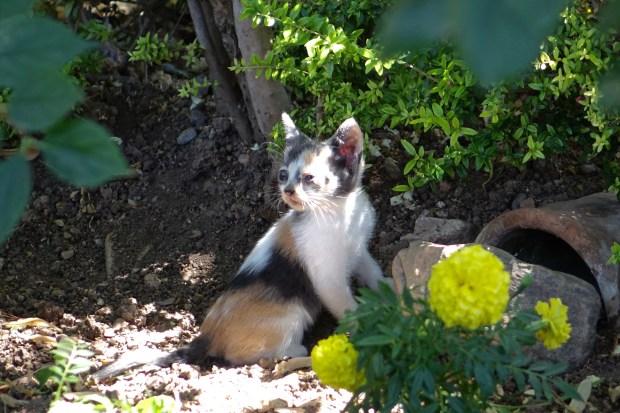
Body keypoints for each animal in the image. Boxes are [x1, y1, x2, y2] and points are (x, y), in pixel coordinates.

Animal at [92, 113, 389, 379]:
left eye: (308, 178)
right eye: (283, 175)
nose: (287, 191)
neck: (337, 211)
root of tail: (206, 336)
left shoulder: (359, 251)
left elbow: (375, 275)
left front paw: (393, 296)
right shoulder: (328, 281)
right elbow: (349, 308)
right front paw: (372, 330)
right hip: (289, 315)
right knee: (243, 354)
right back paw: (294, 351)